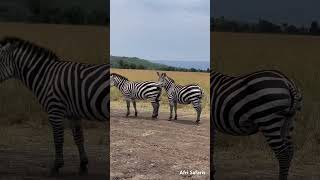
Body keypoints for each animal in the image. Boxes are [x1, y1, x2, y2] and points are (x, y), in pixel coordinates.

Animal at [0, 36, 109, 176]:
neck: (46, 77)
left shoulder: (55, 111)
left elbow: (58, 139)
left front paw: (56, 166)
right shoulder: (73, 114)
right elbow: (78, 138)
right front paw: (83, 165)